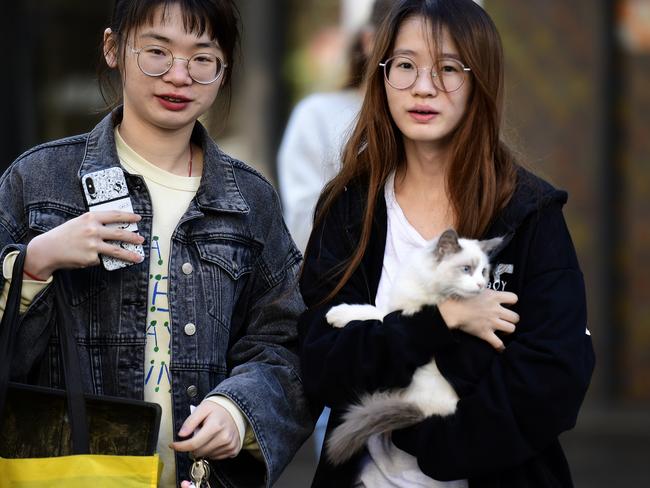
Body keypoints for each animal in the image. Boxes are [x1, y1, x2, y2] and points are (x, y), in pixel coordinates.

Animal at [324, 229, 502, 466]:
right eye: (467, 269)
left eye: (483, 272)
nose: (482, 285)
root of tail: (425, 413)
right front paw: (335, 314)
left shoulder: (397, 315)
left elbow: (370, 311)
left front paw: (336, 314)